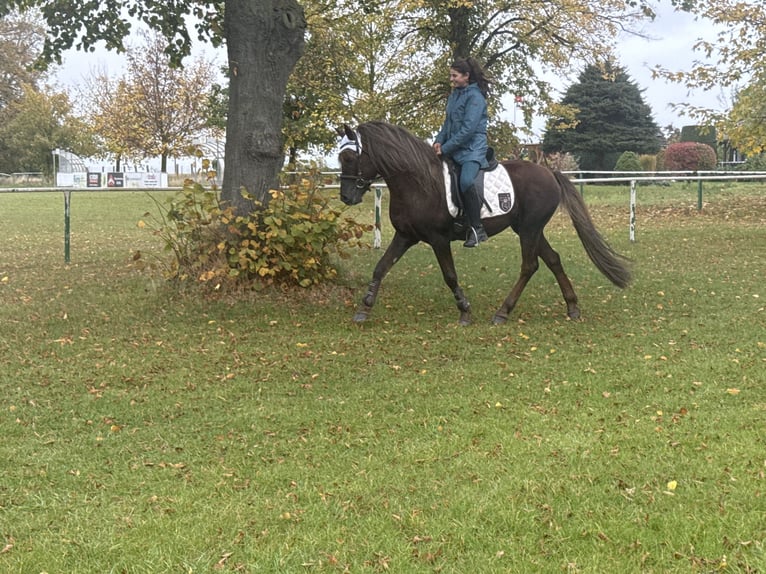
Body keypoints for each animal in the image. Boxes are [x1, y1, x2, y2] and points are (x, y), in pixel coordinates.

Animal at [337, 121, 631, 325]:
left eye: (350, 158)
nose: (346, 197)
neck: (417, 183)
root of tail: (550, 173)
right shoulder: (405, 236)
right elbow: (381, 267)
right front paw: (364, 308)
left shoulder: (438, 239)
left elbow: (450, 275)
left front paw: (465, 310)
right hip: (530, 229)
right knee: (552, 259)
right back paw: (572, 307)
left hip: (529, 229)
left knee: (530, 265)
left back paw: (503, 312)